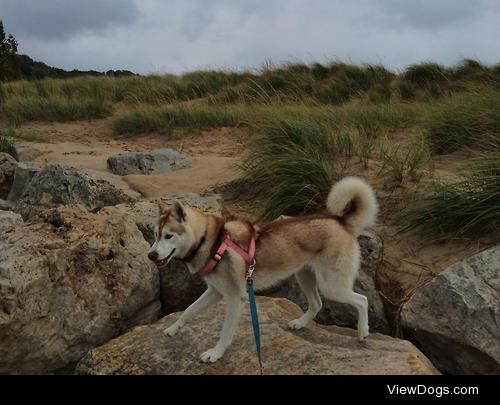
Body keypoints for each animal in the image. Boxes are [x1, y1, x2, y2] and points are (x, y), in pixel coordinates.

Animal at [148, 177, 378, 362]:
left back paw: (362, 332)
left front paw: (215, 353)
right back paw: (300, 323)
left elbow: (225, 331)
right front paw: (173, 329)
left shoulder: (235, 298)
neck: (212, 241)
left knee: (361, 300)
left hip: (331, 285)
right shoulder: (214, 292)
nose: (151, 255)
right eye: (156, 234)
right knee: (317, 303)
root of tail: (341, 221)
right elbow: (189, 310)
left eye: (169, 236)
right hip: (304, 276)